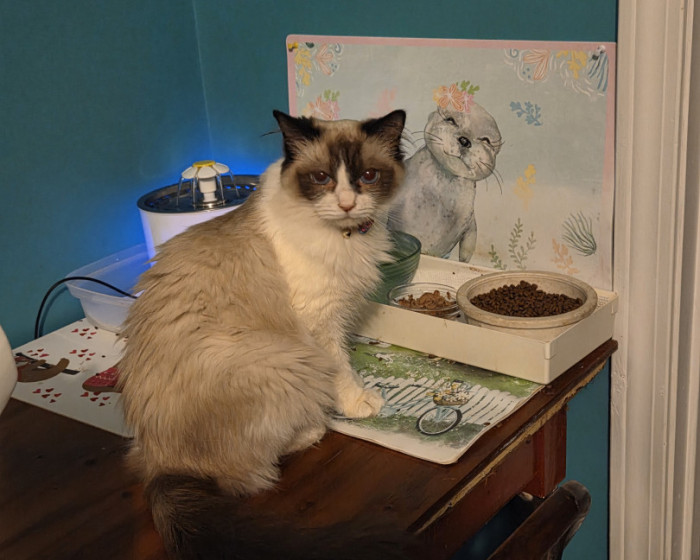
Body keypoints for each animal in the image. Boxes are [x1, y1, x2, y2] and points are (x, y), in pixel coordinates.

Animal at [117, 109, 410, 559]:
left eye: (368, 175)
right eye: (322, 178)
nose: (346, 203)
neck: (343, 236)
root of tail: (158, 463)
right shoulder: (320, 324)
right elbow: (342, 369)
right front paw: (359, 402)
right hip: (286, 362)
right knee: (252, 474)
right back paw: (313, 427)